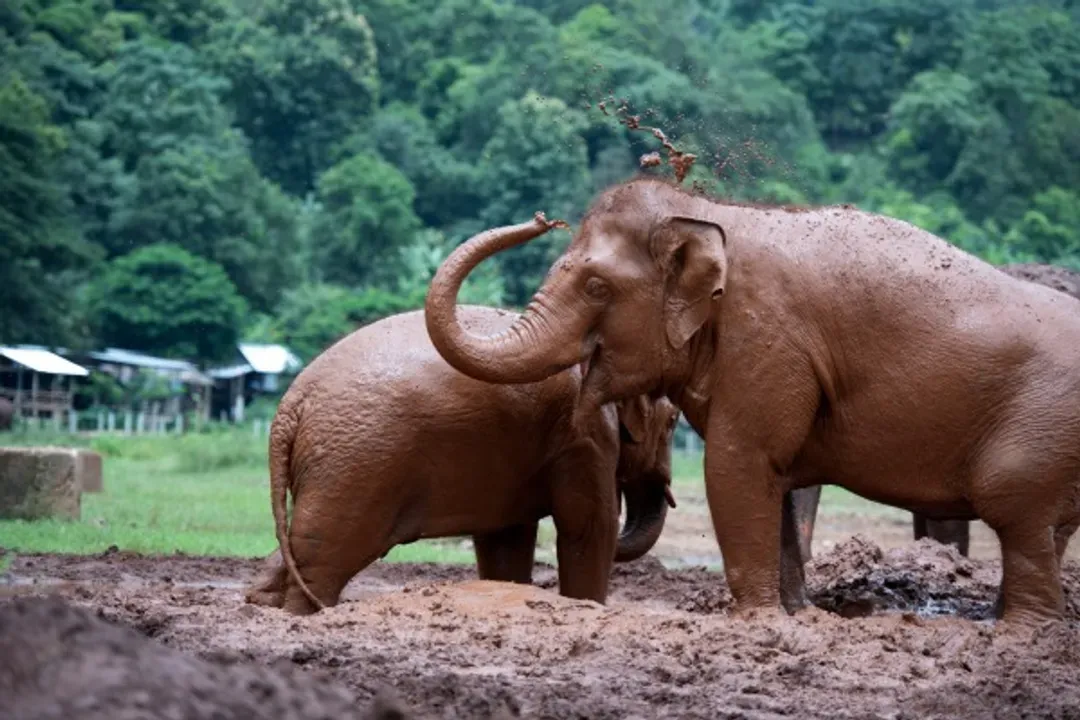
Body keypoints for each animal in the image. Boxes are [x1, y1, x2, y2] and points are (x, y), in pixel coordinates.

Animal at [244, 306, 680, 616]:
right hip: (354, 464)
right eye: (674, 421)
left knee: (299, 548)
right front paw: (585, 606)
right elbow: (589, 526)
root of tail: (291, 406)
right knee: (323, 560)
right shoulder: (586, 436)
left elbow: (506, 534)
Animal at [424, 178, 1080, 625]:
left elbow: (739, 463)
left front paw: (758, 620)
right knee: (1048, 525)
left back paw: (1019, 629)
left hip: (1037, 426)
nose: (541, 215)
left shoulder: (769, 336)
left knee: (1018, 511)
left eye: (594, 286)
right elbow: (778, 477)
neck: (716, 214)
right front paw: (797, 616)